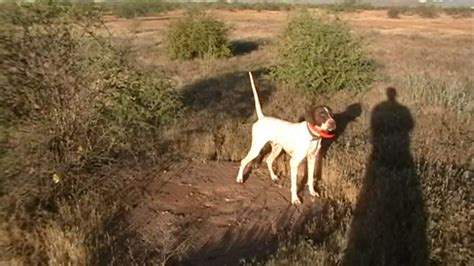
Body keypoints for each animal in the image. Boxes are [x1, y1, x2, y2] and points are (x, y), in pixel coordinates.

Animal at [237, 71, 336, 205]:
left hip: (277, 148)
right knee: (244, 161)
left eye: (332, 115)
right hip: (257, 147)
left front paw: (312, 192)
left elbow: (310, 178)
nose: (333, 123)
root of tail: (262, 118)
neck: (312, 136)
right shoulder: (294, 162)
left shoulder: (312, 158)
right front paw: (295, 199)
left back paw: (273, 177)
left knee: (268, 160)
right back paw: (239, 178)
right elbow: (294, 184)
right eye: (322, 114)